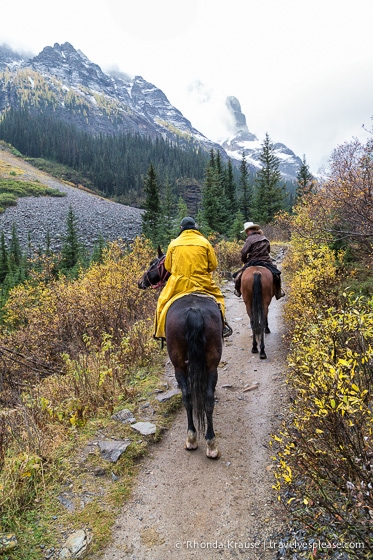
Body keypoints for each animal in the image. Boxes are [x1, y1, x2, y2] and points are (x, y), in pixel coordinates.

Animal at [138, 249, 222, 460]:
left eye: (152, 264)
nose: (140, 282)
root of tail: (193, 310)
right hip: (211, 361)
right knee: (206, 397)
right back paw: (210, 442)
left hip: (178, 362)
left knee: (187, 396)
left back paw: (192, 438)